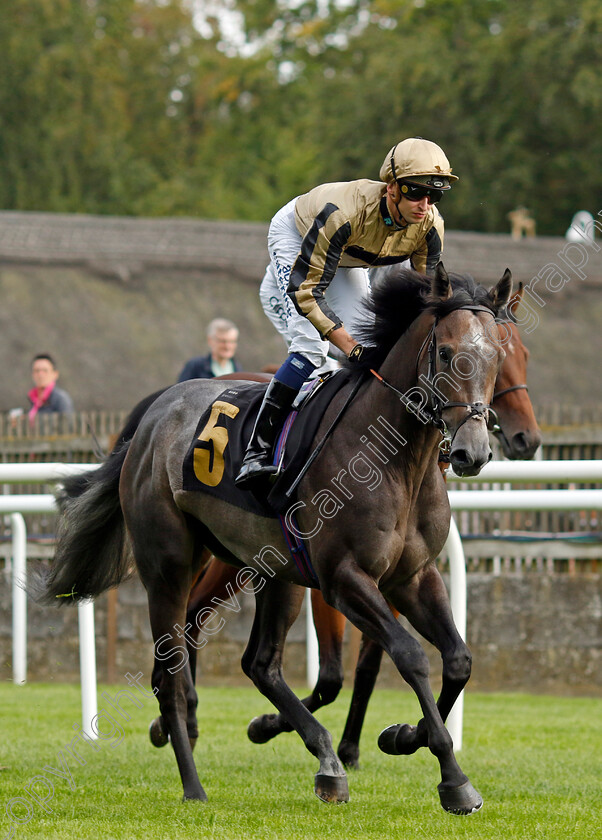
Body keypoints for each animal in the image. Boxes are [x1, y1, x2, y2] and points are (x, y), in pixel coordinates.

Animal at [35, 264, 508, 812]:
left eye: (498, 355)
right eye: (449, 353)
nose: (473, 452)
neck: (393, 459)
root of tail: (155, 413)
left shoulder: (413, 575)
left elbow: (458, 659)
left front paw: (404, 737)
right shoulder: (344, 578)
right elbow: (409, 655)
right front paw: (453, 777)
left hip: (270, 570)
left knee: (259, 664)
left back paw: (324, 761)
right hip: (170, 566)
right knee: (172, 670)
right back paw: (194, 783)